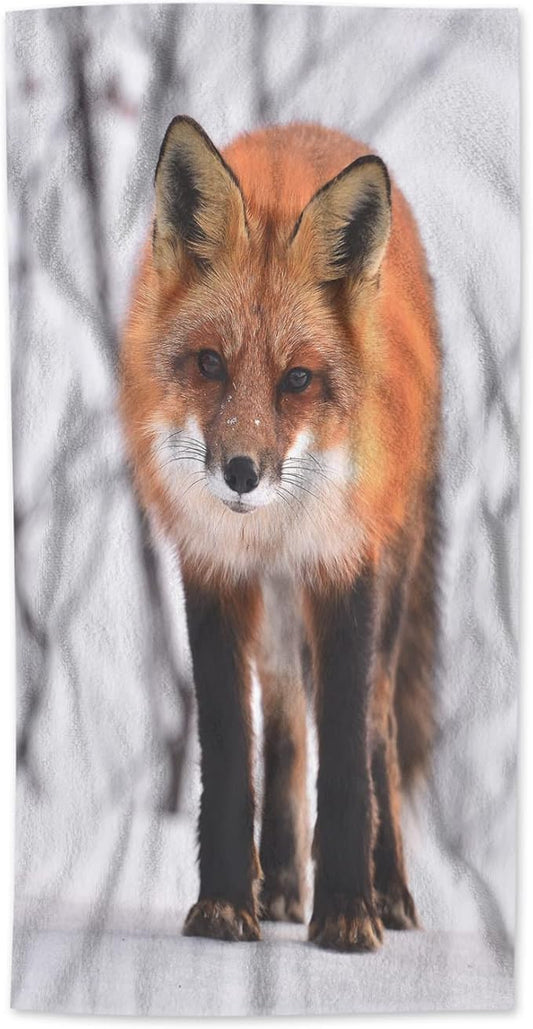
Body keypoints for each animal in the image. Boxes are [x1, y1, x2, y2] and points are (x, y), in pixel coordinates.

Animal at [120, 117, 441, 952]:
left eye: (296, 379)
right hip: (275, 620)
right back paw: (283, 884)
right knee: (288, 725)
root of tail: (312, 129)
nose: (240, 471)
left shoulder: (343, 568)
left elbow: (349, 761)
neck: (269, 528)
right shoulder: (213, 571)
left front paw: (348, 911)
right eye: (209, 363)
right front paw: (225, 903)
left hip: (388, 587)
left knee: (377, 730)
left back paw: (387, 889)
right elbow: (234, 749)